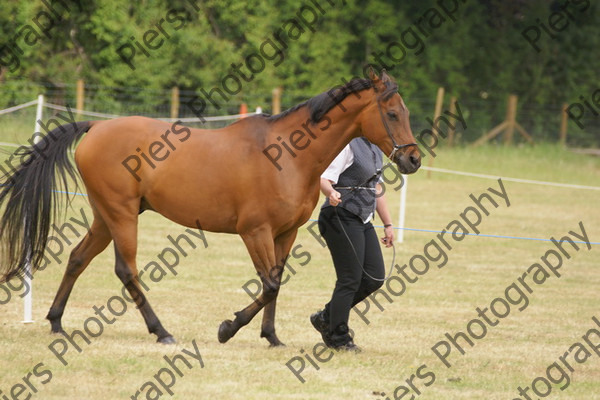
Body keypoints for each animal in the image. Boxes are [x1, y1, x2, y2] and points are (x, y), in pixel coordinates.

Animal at [0, 69, 420, 346]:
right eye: (392, 113)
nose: (413, 159)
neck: (288, 154)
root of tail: (95, 127)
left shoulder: (285, 233)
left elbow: (277, 282)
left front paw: (271, 336)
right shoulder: (255, 232)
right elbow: (269, 284)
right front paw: (228, 329)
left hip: (106, 216)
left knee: (77, 258)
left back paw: (56, 322)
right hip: (121, 215)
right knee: (126, 270)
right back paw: (162, 332)